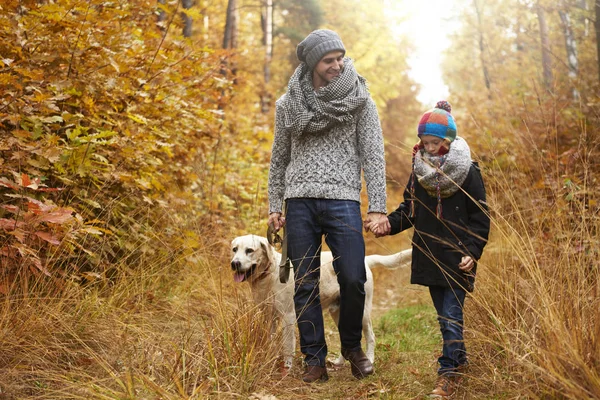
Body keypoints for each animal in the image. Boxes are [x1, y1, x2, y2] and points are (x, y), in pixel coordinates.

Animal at [227, 234, 410, 368]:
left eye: (249, 250)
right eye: (235, 249)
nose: (234, 263)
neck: (270, 275)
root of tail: (365, 260)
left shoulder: (288, 316)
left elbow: (288, 345)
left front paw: (287, 366)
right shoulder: (268, 316)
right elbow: (269, 340)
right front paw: (268, 358)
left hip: (362, 312)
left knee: (370, 336)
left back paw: (370, 360)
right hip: (338, 313)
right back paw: (339, 362)